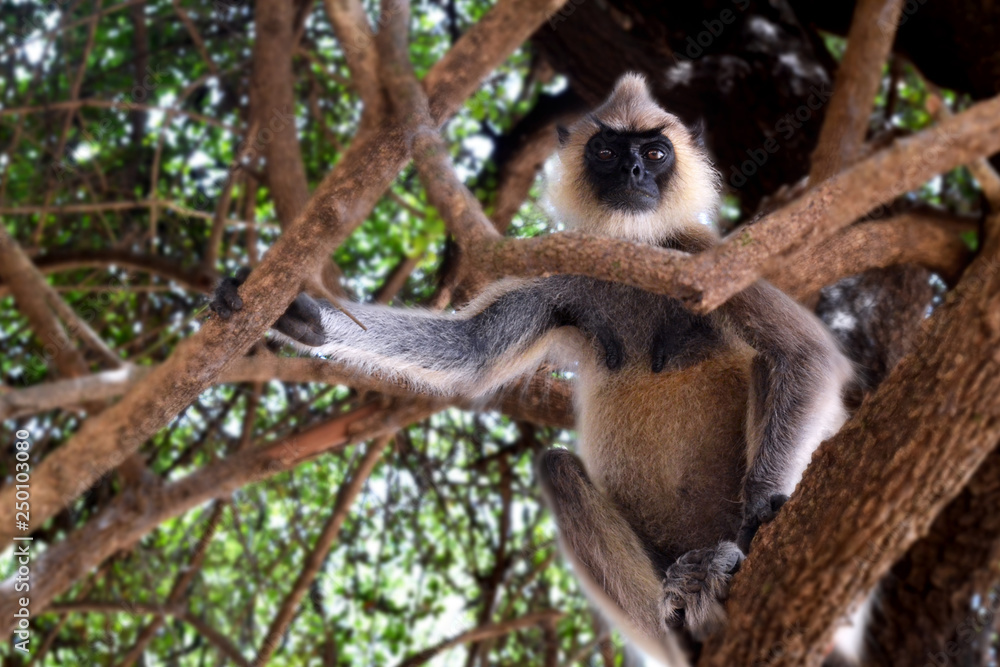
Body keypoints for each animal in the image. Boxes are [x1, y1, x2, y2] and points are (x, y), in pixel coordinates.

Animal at [211, 73, 854, 665]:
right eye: (606, 152)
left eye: (654, 153)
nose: (633, 174)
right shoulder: (565, 273)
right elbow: (470, 347)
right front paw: (303, 317)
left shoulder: (700, 256)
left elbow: (805, 354)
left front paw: (760, 513)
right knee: (560, 470)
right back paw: (685, 633)